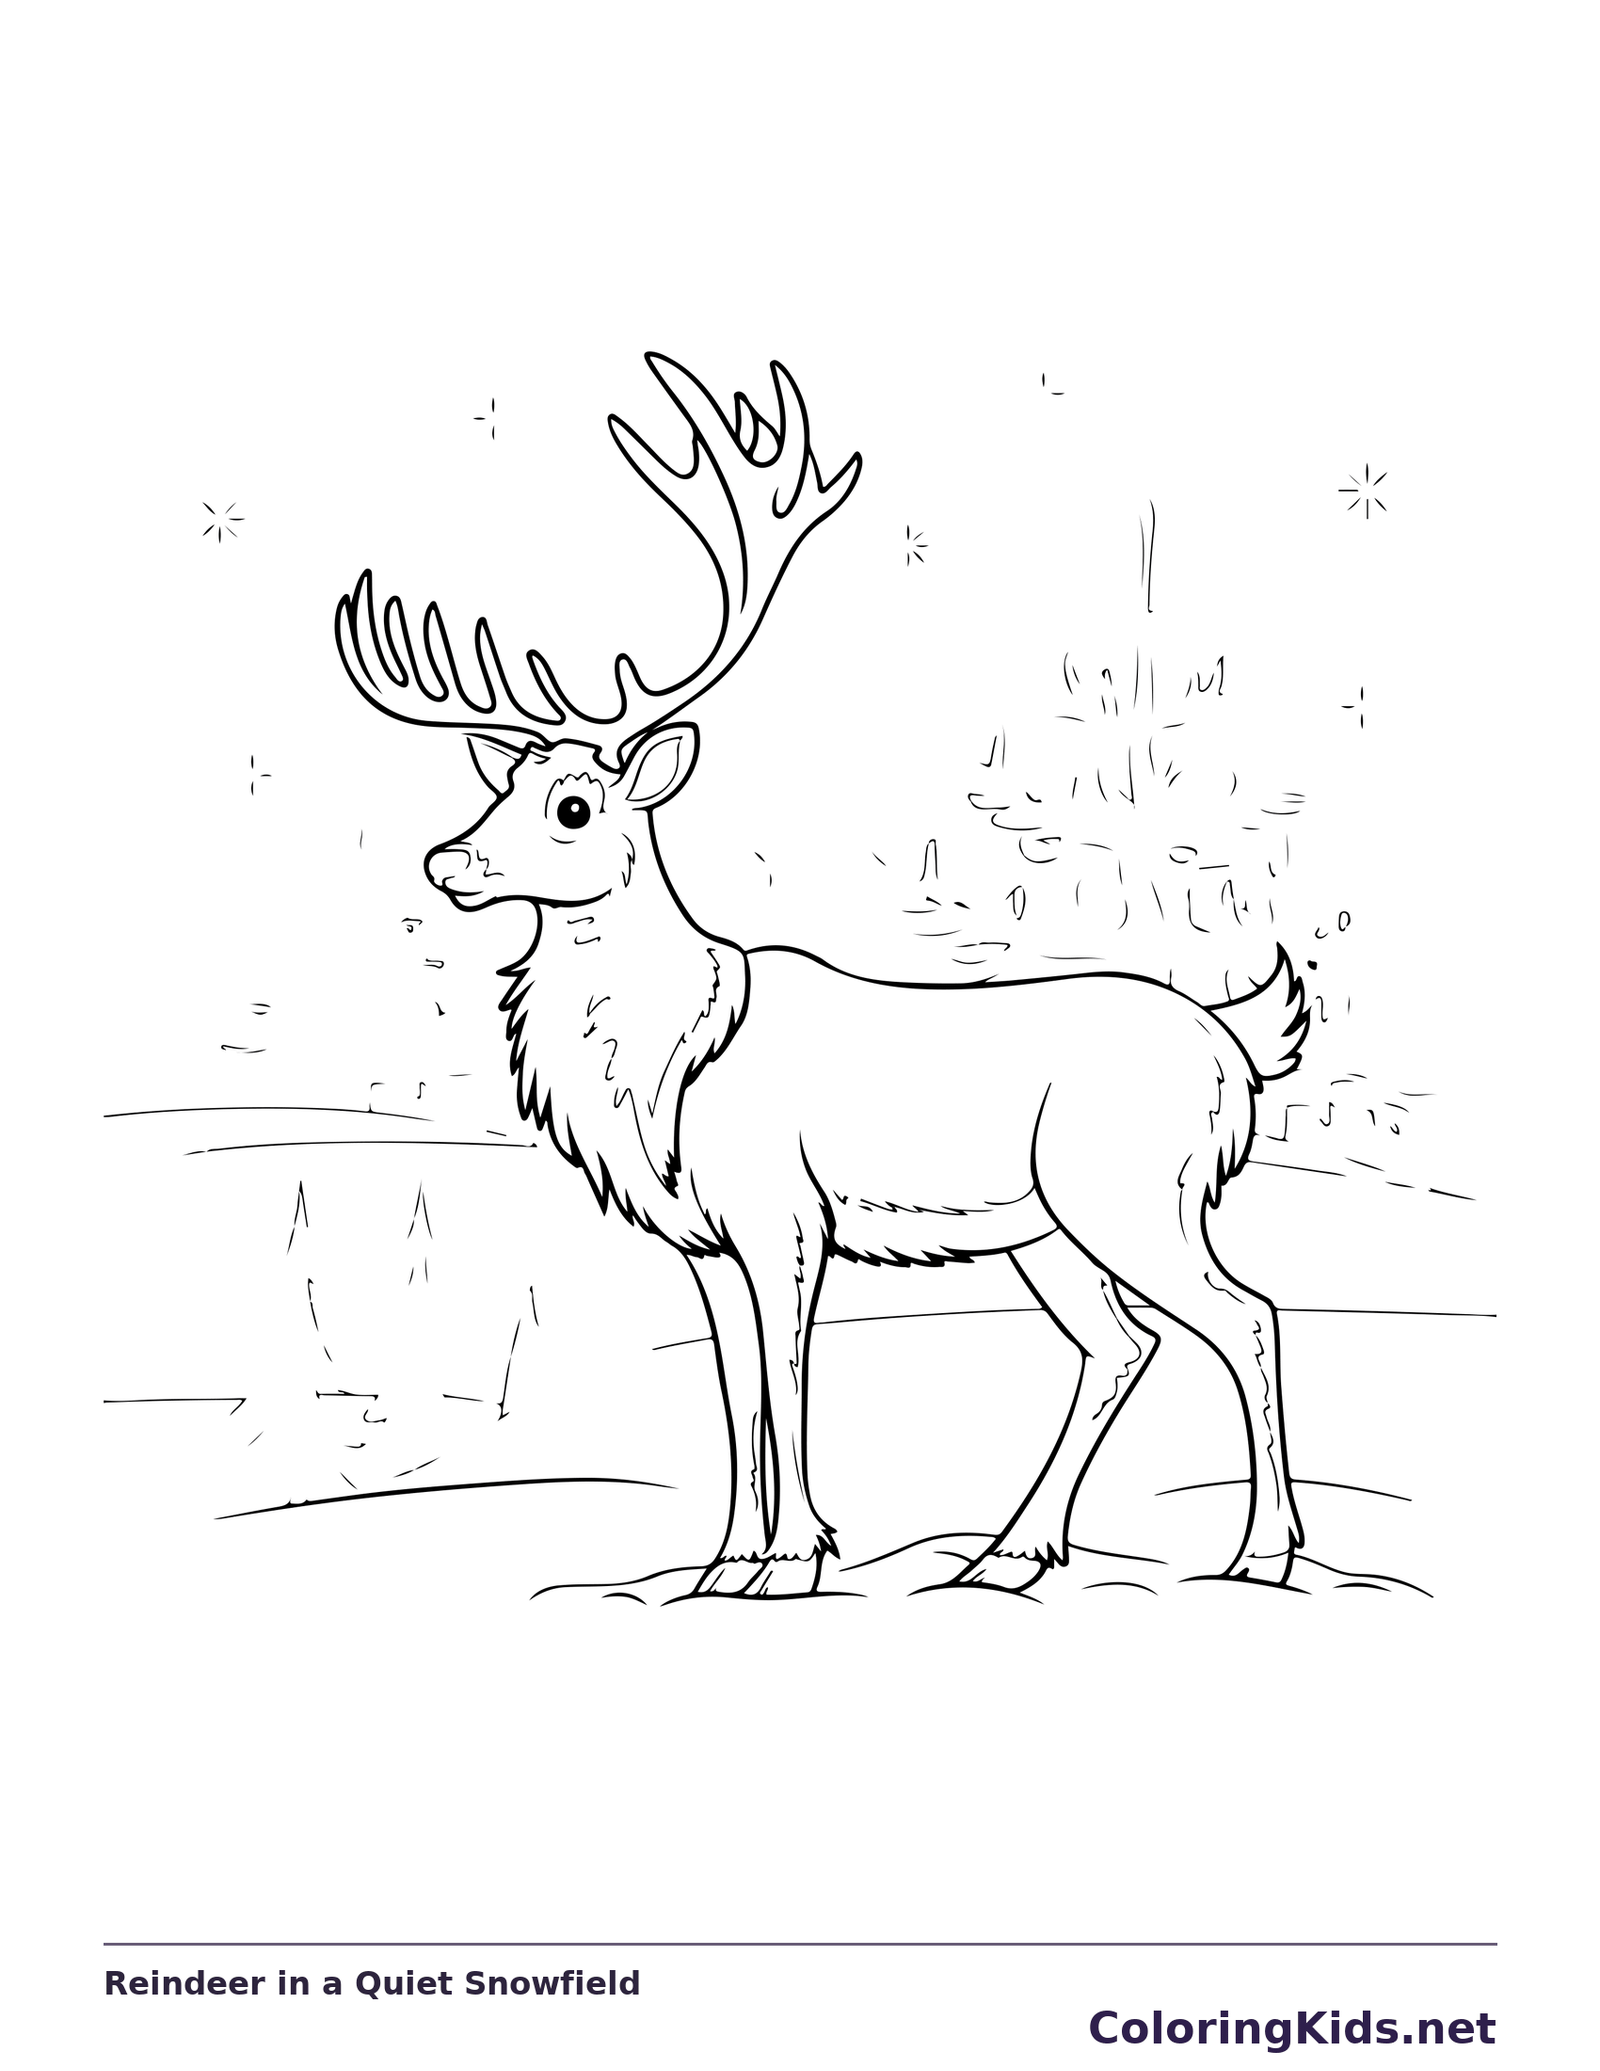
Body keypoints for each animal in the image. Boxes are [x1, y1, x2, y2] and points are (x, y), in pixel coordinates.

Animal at [335, 353, 1311, 1597]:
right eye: (502, 787)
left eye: (575, 804)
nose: (447, 861)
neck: (668, 1066)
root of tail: (1235, 1050)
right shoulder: (703, 1238)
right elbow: (733, 1389)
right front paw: (720, 1559)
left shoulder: (784, 1209)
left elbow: (791, 1378)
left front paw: (794, 1557)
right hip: (1045, 1228)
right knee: (1121, 1343)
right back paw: (1007, 1551)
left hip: (1133, 1188)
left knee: (1246, 1315)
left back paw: (1260, 1551)